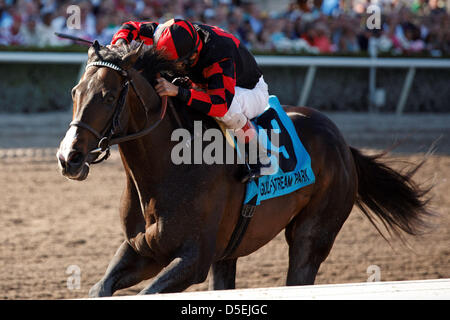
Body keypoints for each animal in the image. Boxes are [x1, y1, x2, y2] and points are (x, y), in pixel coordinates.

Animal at [57, 41, 432, 296]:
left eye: (108, 96)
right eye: (75, 91)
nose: (68, 157)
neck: (167, 170)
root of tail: (341, 141)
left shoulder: (192, 259)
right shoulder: (142, 249)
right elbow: (99, 288)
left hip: (312, 236)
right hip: (228, 252)